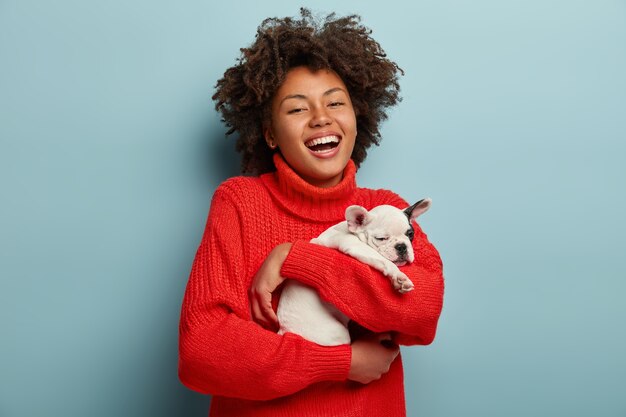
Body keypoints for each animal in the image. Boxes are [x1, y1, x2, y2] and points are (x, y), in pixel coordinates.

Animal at [276, 197, 428, 344]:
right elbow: (382, 260)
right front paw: (399, 277)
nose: (402, 246)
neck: (354, 232)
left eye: (410, 234)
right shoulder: (354, 245)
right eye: (381, 238)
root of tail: (284, 330)